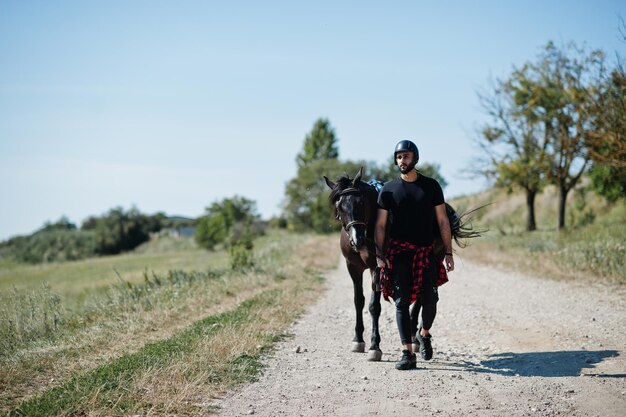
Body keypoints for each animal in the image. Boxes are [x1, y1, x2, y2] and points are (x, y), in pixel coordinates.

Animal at [324, 166, 486, 360]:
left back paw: (415, 340)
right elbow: (358, 301)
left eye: (361, 202)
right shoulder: (353, 267)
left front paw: (374, 347)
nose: (357, 240)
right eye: (339, 207)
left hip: (434, 259)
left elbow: (374, 306)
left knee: (422, 297)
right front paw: (357, 340)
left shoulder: (377, 268)